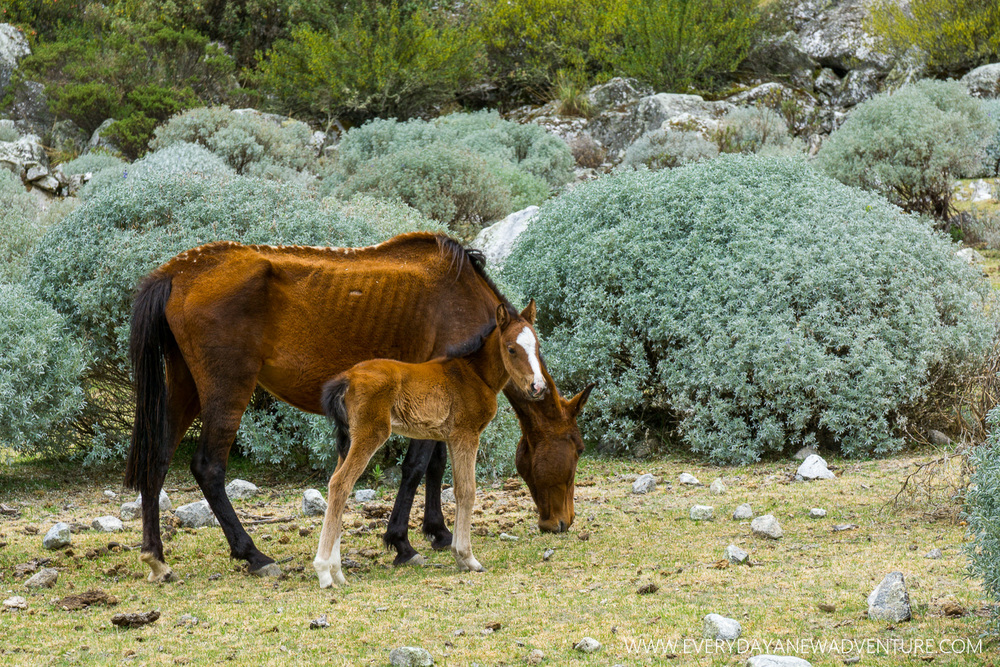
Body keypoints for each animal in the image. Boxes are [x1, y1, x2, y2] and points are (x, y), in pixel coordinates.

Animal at [126, 232, 592, 580]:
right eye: (578, 448)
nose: (561, 523)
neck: (463, 299)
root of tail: (177, 271)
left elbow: (436, 466)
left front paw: (437, 532)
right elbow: (417, 467)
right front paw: (403, 542)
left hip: (185, 386)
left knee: (158, 459)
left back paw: (156, 557)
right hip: (227, 391)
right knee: (208, 467)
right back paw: (253, 554)